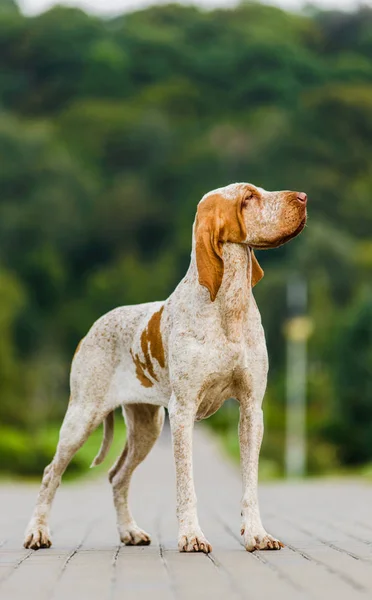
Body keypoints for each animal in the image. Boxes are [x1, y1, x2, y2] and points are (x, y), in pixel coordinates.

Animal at [24, 182, 308, 552]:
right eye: (248, 197)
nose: (303, 197)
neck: (229, 306)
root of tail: (92, 329)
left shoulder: (251, 409)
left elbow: (250, 484)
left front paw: (257, 533)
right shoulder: (183, 410)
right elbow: (186, 486)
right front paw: (191, 535)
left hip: (147, 425)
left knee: (117, 475)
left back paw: (129, 531)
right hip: (82, 416)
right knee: (51, 473)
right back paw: (37, 532)